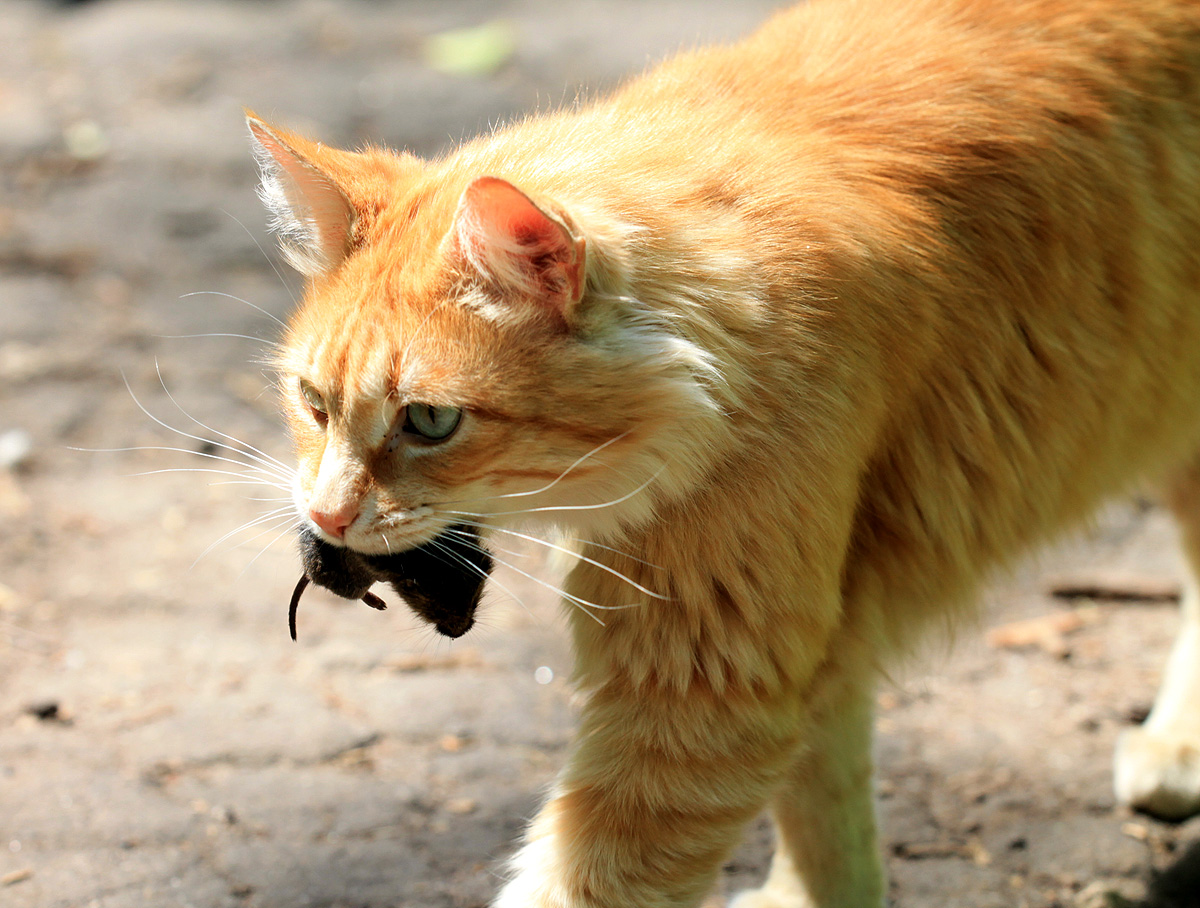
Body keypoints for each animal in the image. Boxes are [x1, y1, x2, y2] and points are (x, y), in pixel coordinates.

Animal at [244, 0, 1200, 904]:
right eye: (313, 403)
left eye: (432, 422)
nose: (326, 516)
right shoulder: (806, 637)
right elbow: (826, 808)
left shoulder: (706, 686)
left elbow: (591, 878)